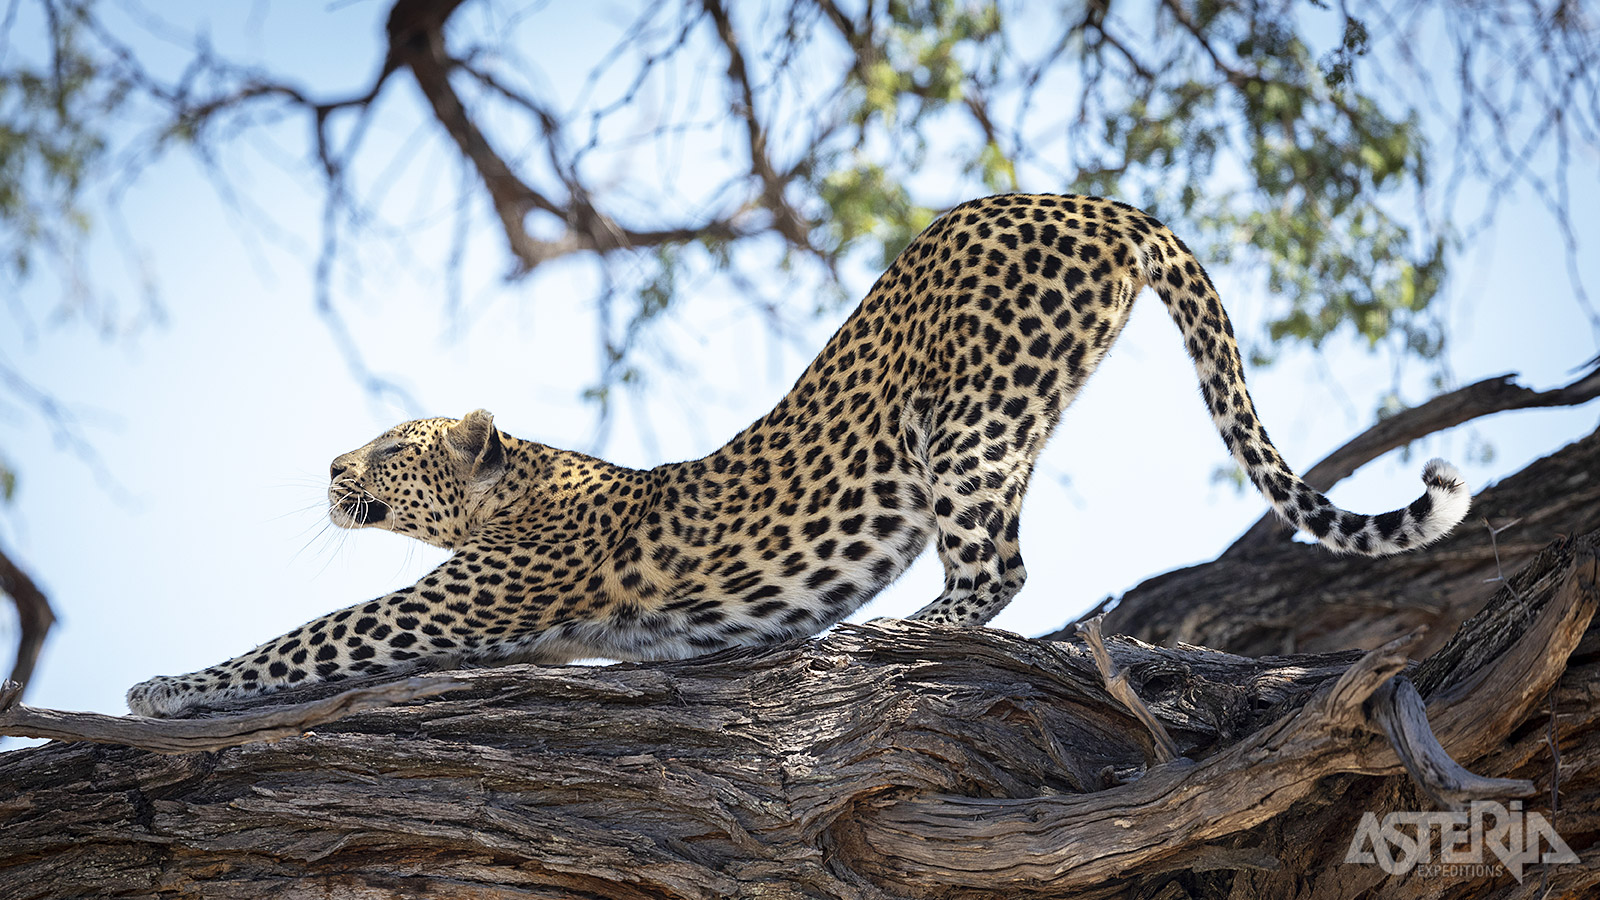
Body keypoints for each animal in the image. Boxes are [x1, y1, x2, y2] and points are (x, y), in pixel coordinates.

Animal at [124, 194, 1465, 714]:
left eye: (395, 447)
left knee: (998, 572)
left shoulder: (464, 602)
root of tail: (1088, 200)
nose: (330, 471)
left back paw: (888, 632)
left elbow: (308, 638)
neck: (515, 491)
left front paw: (163, 688)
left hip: (966, 420)